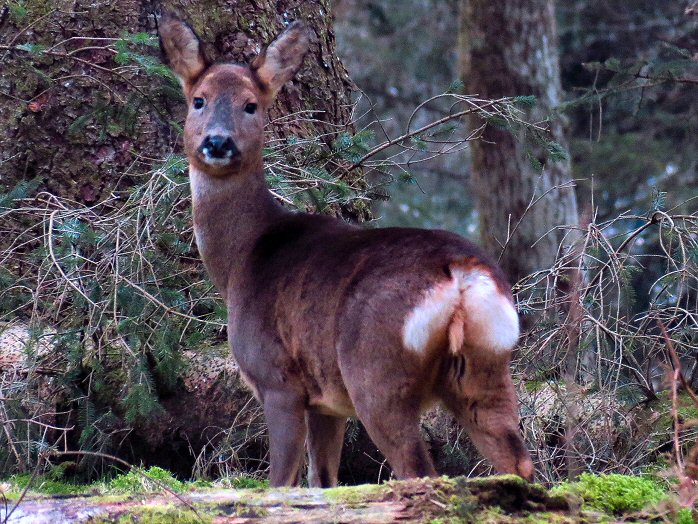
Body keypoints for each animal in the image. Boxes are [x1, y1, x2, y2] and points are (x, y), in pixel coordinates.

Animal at [160, 13, 532, 488]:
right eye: (199, 100)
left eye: (251, 105)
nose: (218, 142)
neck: (242, 257)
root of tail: (461, 273)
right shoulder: (327, 402)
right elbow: (323, 479)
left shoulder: (278, 378)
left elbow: (283, 481)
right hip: (488, 362)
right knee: (518, 460)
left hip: (376, 370)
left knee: (417, 468)